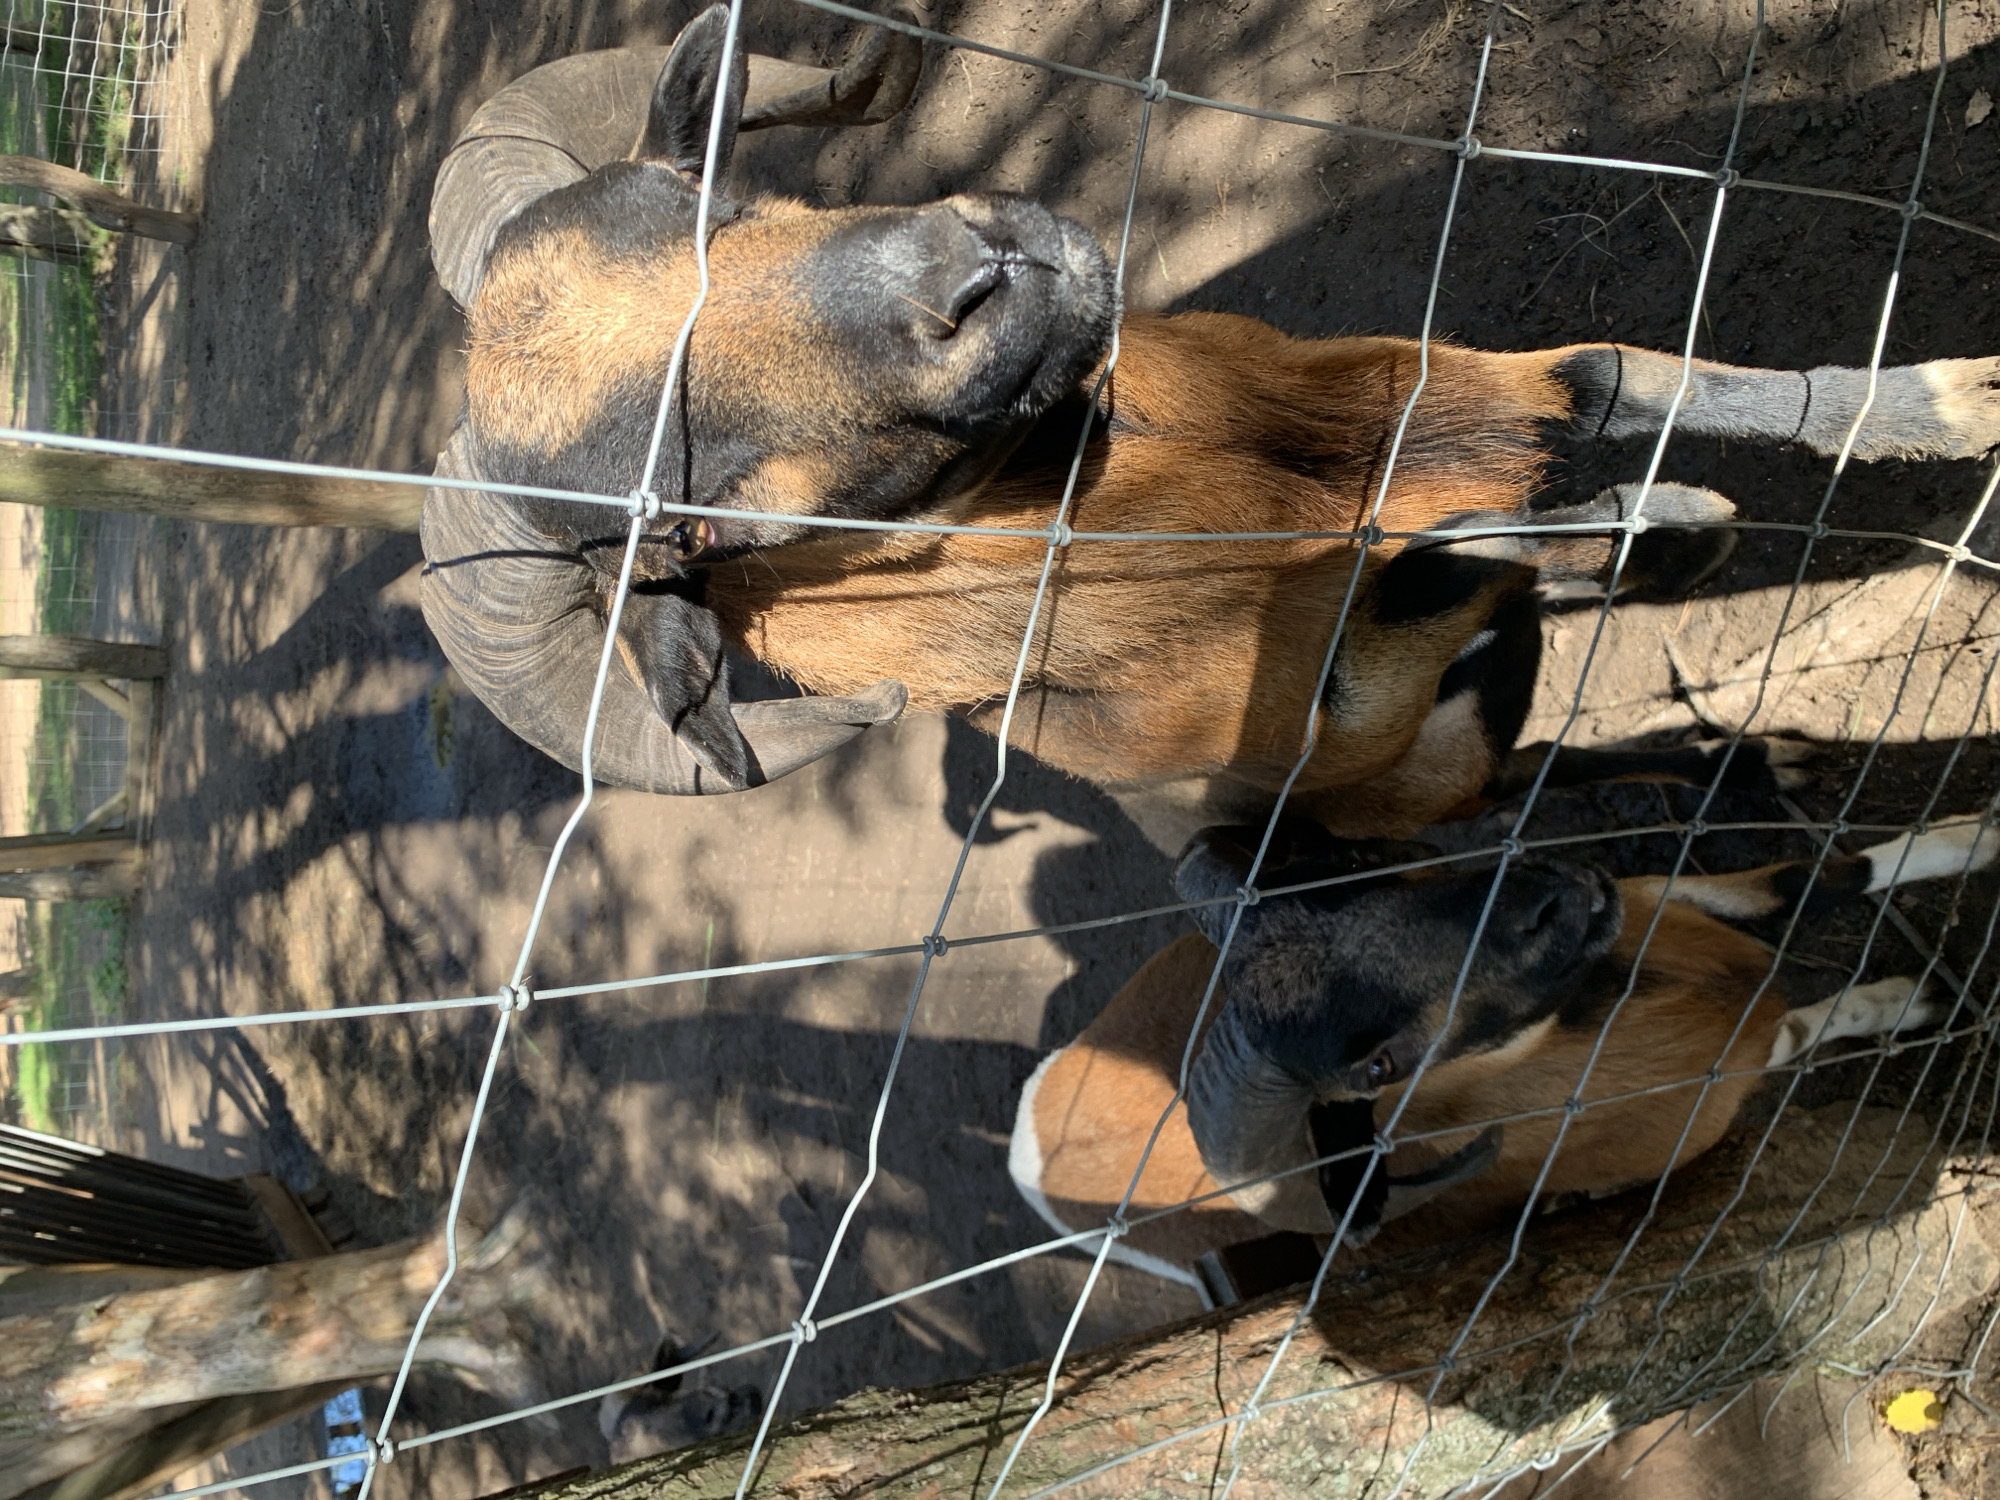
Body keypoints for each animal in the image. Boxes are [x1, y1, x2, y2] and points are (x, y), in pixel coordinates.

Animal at [421, 5, 2000, 837]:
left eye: (717, 203)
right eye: (696, 529)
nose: (981, 278)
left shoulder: (1380, 381)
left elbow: (1620, 376)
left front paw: (1949, 399)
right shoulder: (1329, 716)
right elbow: (1445, 578)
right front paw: (1650, 527)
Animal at [1008, 817, 1997, 1294]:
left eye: (1355, 869)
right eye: (1379, 1065)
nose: (1550, 902)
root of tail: (1028, 1143)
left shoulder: (1658, 898)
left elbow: (1813, 880)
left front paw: (1976, 839)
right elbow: (1808, 1019)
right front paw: (1912, 1001)